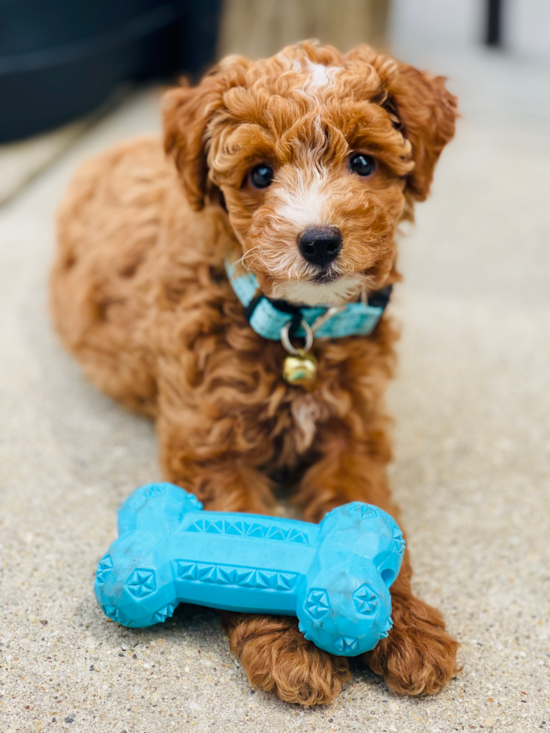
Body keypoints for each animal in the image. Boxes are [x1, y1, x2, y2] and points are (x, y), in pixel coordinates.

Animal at [52, 41, 462, 704]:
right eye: (260, 175)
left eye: (363, 162)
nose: (319, 241)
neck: (298, 330)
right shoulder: (211, 442)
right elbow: (245, 541)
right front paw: (289, 646)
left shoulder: (354, 437)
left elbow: (370, 521)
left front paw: (403, 625)